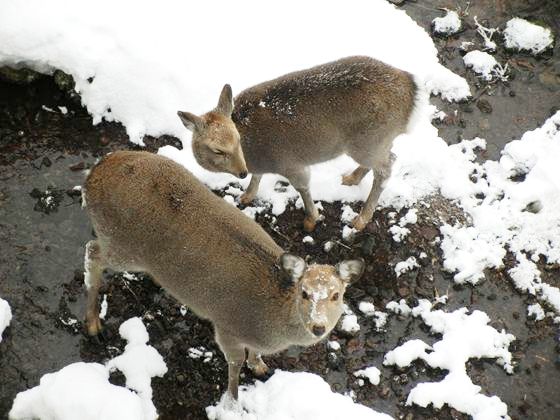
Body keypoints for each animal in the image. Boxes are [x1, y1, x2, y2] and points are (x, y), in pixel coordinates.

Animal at [82, 149, 364, 398]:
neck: (268, 323)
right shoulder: (226, 326)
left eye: (336, 295)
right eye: (304, 293)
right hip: (122, 244)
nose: (318, 326)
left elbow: (253, 356)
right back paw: (93, 325)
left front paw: (260, 367)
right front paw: (232, 399)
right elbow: (235, 363)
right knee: (92, 251)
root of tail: (93, 174)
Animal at [176, 55, 420, 233]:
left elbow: (302, 186)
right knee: (389, 155)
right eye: (218, 149)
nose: (241, 172)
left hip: (367, 142)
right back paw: (351, 177)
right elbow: (258, 177)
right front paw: (246, 195)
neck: (255, 154)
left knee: (387, 166)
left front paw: (311, 220)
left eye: (237, 139)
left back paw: (361, 219)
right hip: (377, 142)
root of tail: (412, 90)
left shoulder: (289, 163)